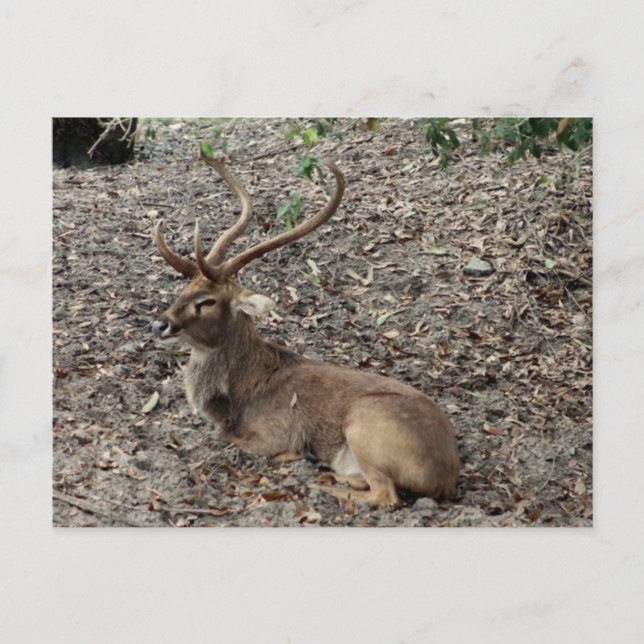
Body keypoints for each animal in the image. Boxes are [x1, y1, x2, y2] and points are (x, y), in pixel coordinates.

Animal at [152, 152, 460, 510]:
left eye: (208, 300)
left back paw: (319, 481)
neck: (237, 398)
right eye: (185, 288)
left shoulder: (272, 434)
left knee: (386, 495)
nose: (160, 323)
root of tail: (446, 479)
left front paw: (297, 457)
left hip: (364, 423)